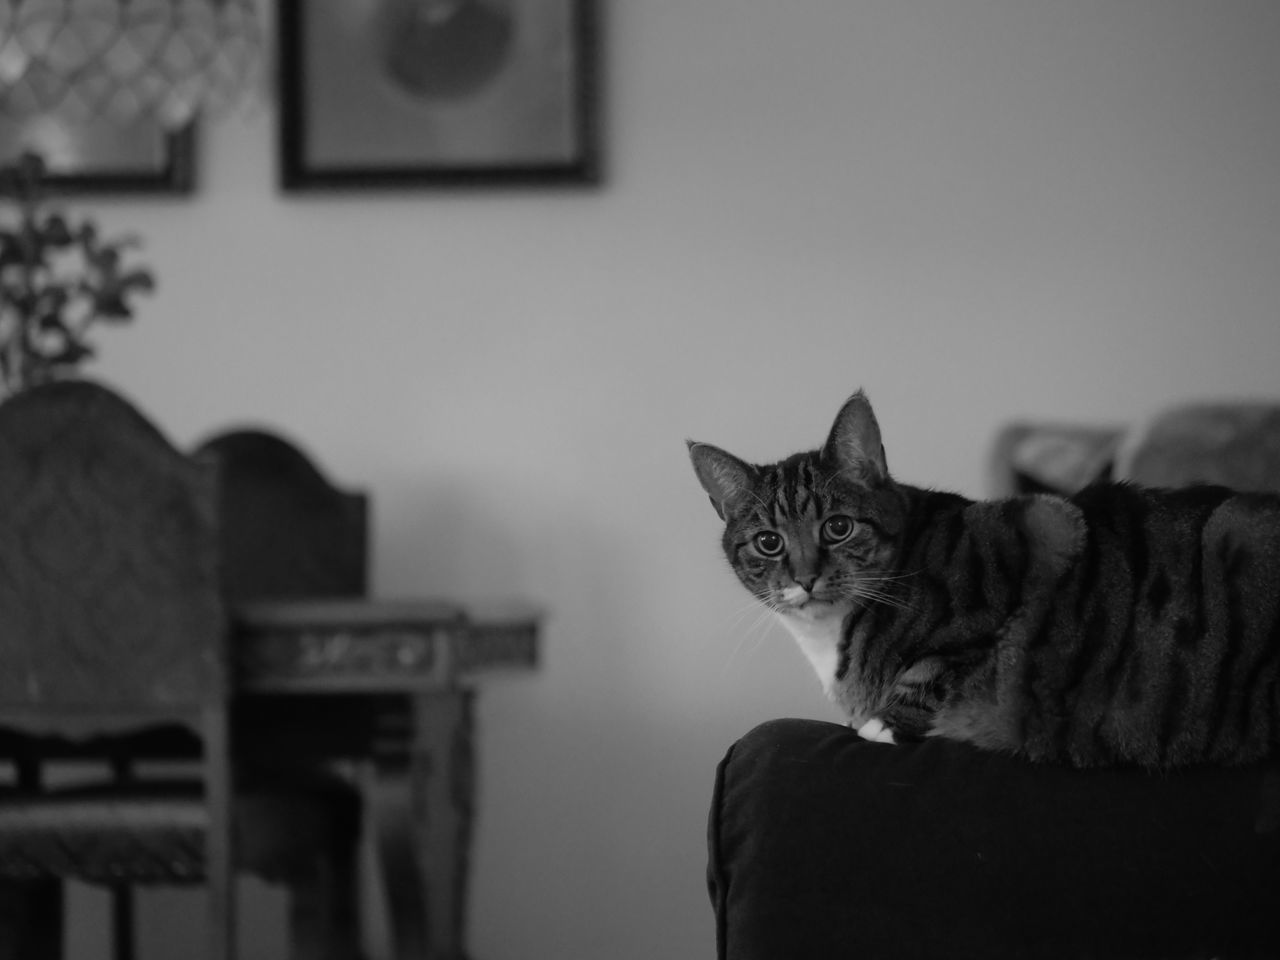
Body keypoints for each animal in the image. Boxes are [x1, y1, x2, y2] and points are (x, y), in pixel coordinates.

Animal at [691, 386, 1280, 773]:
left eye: (837, 527)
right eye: (769, 543)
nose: (806, 577)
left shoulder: (1045, 529)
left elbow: (933, 669)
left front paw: (881, 725)